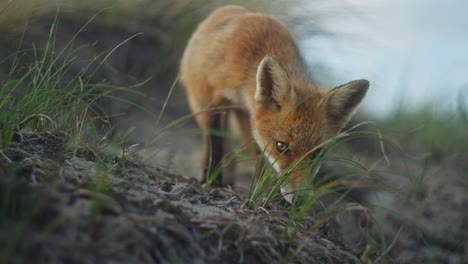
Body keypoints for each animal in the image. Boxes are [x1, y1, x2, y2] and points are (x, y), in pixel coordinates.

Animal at [179, 4, 370, 202]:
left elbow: (259, 157)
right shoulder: (212, 95)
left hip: (245, 119)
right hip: (200, 101)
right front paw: (210, 178)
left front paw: (266, 191)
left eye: (318, 153)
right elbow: (213, 142)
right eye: (281, 146)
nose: (300, 200)